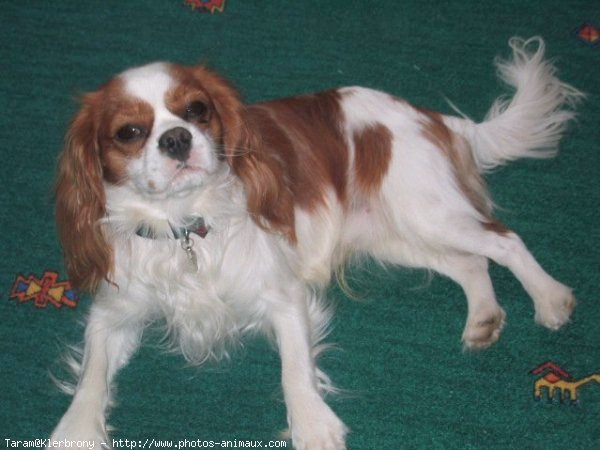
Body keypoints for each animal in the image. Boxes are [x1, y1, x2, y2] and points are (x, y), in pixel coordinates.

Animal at [50, 38, 580, 450]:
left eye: (197, 110)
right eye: (130, 132)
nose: (178, 138)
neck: (184, 228)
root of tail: (431, 115)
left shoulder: (283, 296)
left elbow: (294, 368)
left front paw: (312, 425)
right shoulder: (115, 312)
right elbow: (93, 369)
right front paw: (75, 429)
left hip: (429, 212)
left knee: (505, 241)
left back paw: (551, 299)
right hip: (399, 234)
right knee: (471, 263)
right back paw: (484, 318)